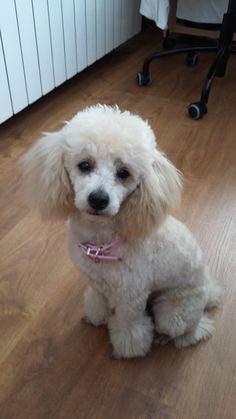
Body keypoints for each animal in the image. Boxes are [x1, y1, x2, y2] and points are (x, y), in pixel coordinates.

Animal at [21, 105, 221, 358]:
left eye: (124, 172)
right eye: (84, 165)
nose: (98, 199)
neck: (100, 242)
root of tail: (207, 289)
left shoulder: (130, 296)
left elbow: (129, 325)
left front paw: (128, 349)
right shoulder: (95, 283)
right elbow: (97, 302)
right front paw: (97, 317)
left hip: (173, 312)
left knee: (193, 330)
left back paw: (167, 337)